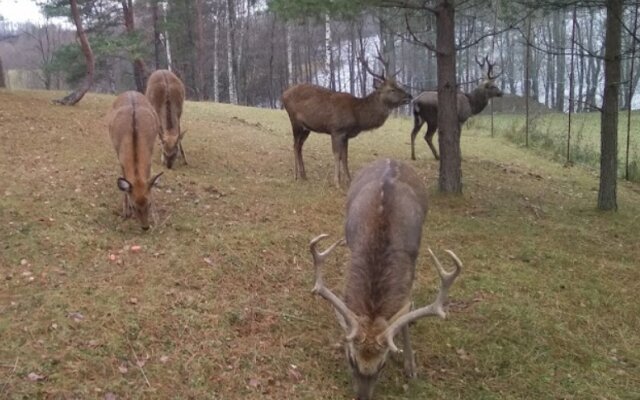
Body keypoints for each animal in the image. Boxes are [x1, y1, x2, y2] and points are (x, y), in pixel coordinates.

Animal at [108, 89, 164, 230]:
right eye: (134, 206)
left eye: (148, 204)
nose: (145, 227)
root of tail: (131, 91)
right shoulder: (121, 160)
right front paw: (125, 212)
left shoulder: (149, 158)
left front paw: (156, 217)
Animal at [282, 55, 412, 189]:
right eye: (392, 89)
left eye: (398, 85)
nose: (409, 96)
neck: (357, 116)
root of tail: (283, 94)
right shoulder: (336, 130)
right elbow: (336, 155)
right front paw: (337, 183)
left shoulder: (346, 135)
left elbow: (345, 156)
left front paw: (349, 180)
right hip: (294, 121)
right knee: (295, 145)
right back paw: (296, 175)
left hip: (306, 128)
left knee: (299, 146)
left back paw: (304, 175)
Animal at [308, 158, 460, 398]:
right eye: (351, 359)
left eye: (383, 365)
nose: (362, 397)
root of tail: (391, 159)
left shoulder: (410, 263)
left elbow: (404, 311)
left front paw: (411, 366)